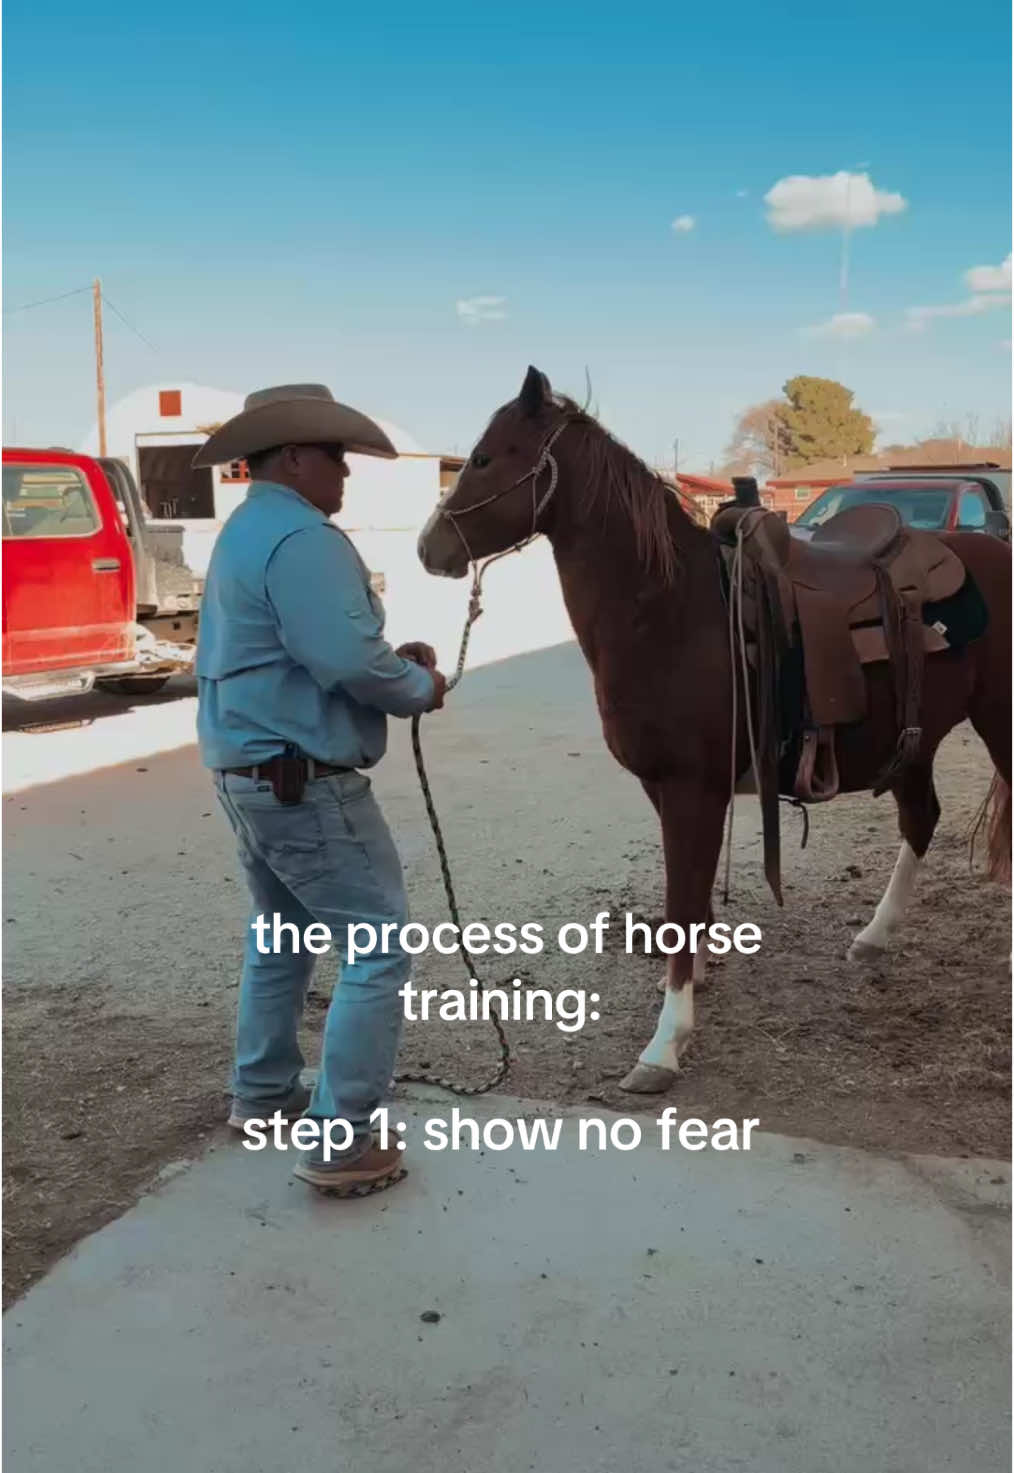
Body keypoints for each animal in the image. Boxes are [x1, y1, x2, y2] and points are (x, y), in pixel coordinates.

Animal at [415, 368, 1008, 1095]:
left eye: (485, 458)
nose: (428, 547)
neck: (669, 608)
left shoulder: (690, 789)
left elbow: (680, 903)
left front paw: (664, 1045)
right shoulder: (666, 788)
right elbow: (691, 903)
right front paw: (693, 985)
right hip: (913, 742)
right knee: (921, 817)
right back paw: (873, 937)